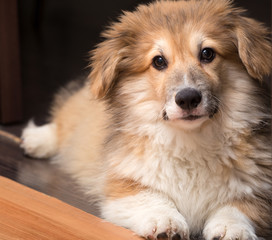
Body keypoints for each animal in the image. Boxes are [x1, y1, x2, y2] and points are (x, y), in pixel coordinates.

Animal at [21, 0, 272, 239]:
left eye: (207, 54)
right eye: (159, 61)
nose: (188, 98)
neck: (191, 139)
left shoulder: (258, 191)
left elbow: (236, 209)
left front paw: (232, 229)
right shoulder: (124, 185)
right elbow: (151, 198)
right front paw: (165, 222)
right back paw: (36, 139)